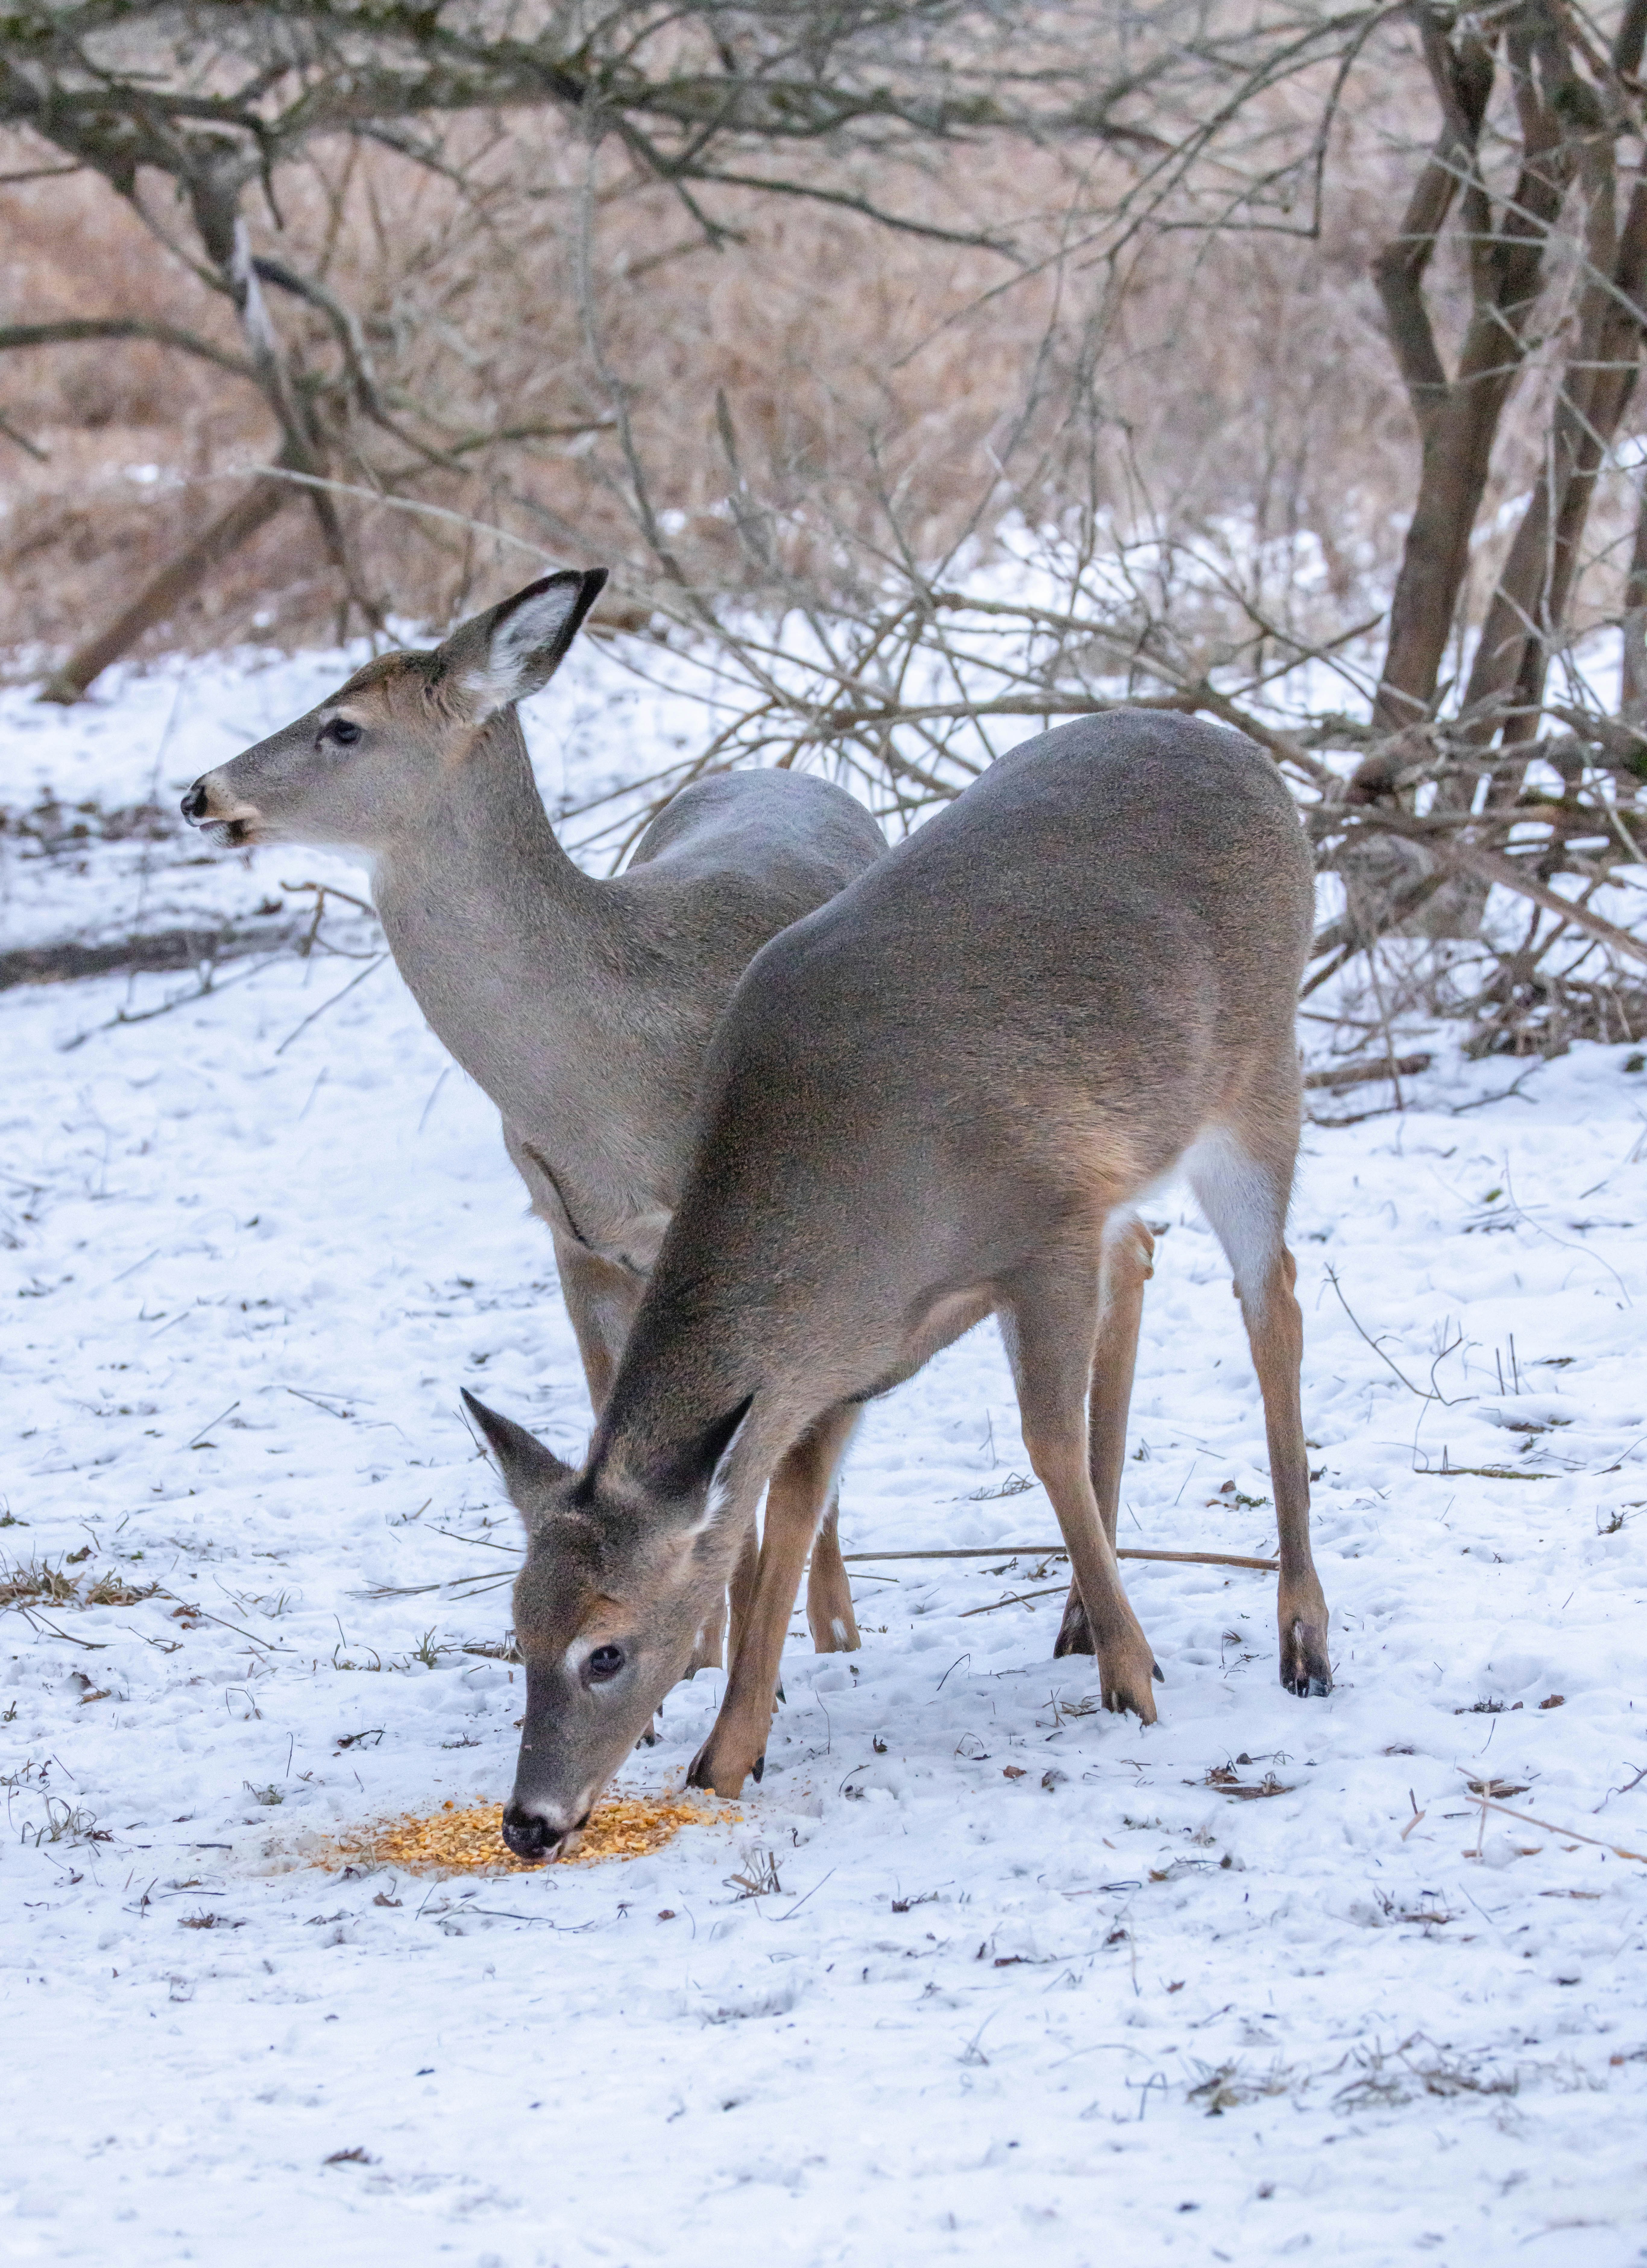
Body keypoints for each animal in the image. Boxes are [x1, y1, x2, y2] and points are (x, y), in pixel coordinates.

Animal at [180, 567, 886, 1665]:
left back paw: (839, 1624)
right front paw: (690, 1654)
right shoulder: (572, 1236)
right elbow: (619, 1434)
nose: (199, 793)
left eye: (343, 727)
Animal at [460, 708, 1332, 1856]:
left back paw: (1300, 1637)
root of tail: (1244, 754)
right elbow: (789, 1505)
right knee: (1155, 1257)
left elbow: (1045, 1442)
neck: (863, 1201)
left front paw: (1136, 1678)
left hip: (1259, 1071)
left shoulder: (1043, 1230)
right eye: (515, 1628)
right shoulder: (839, 1360)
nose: (530, 1821)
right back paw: (1079, 1618)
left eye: (606, 1648)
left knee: (1272, 1296)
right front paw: (728, 1753)